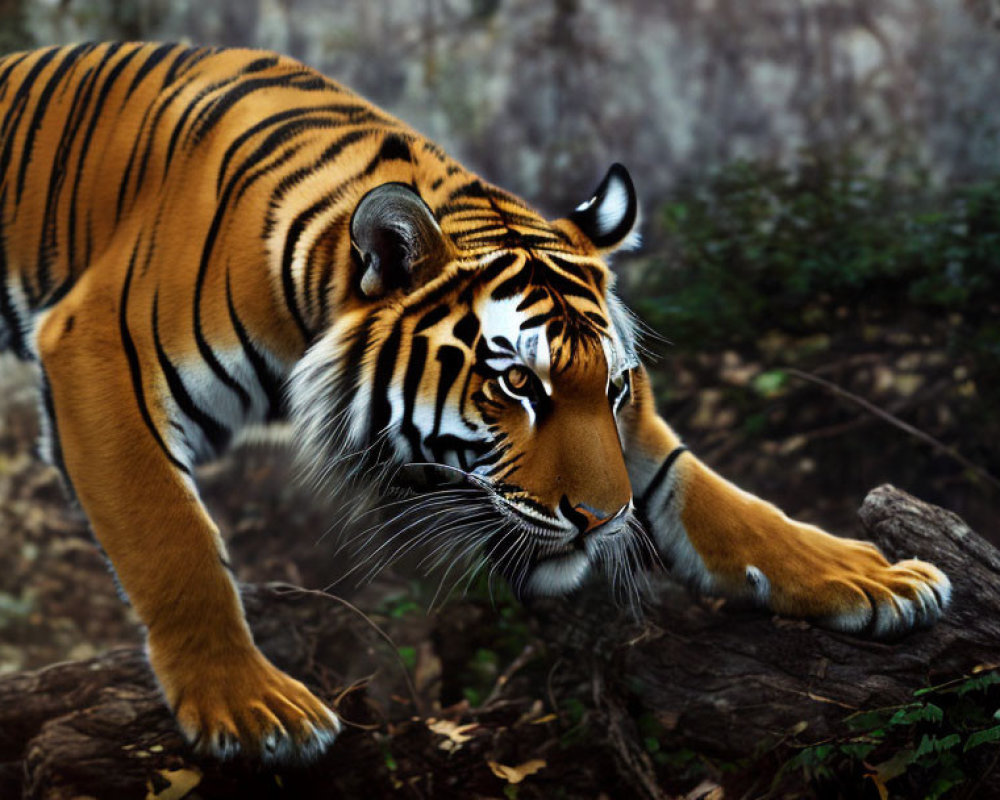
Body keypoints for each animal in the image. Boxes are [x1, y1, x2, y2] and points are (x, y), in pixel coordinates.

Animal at [1, 43, 952, 764]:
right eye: (516, 384)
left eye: (611, 387)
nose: (601, 522)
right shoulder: (97, 352)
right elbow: (174, 540)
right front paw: (246, 705)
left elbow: (709, 491)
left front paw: (861, 576)